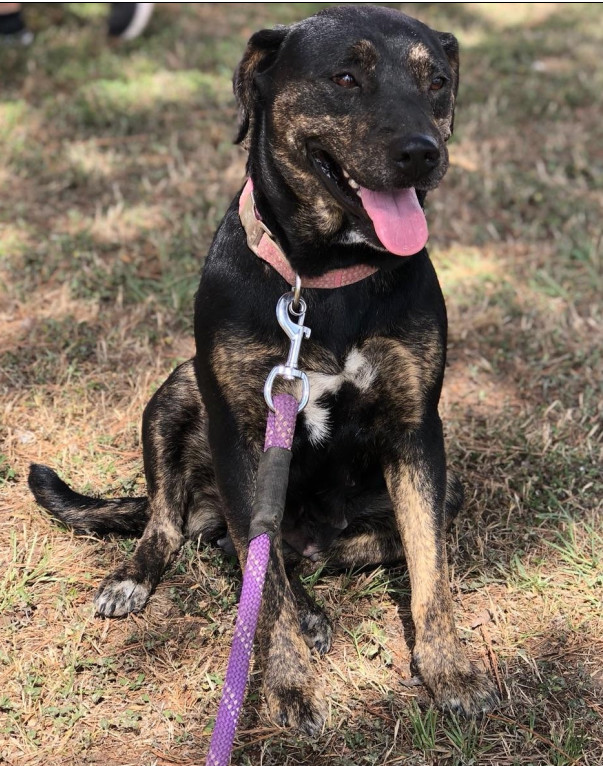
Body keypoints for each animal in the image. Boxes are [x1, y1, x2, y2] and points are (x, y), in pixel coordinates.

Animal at [28, 7, 500, 736]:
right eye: (345, 77)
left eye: (437, 82)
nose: (423, 152)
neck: (321, 277)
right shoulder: (243, 436)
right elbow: (264, 588)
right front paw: (289, 686)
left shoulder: (417, 430)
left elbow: (429, 567)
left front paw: (448, 668)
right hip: (176, 391)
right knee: (177, 524)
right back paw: (146, 578)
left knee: (288, 547)